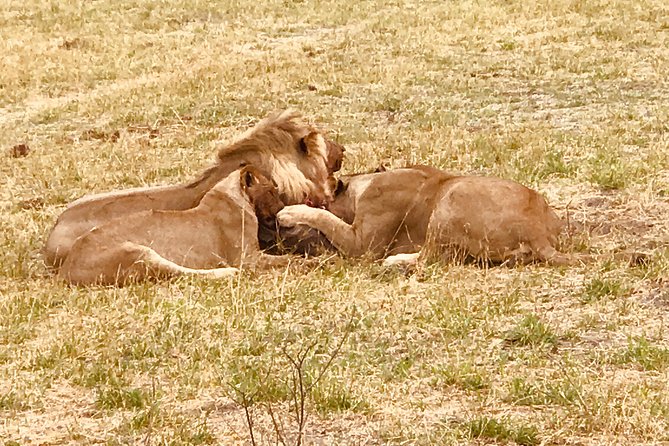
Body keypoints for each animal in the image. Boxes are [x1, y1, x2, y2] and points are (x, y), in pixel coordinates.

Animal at [58, 166, 290, 286]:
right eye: (272, 190)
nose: (282, 207)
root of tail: (67, 269)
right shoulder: (247, 258)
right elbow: (288, 260)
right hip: (137, 253)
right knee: (179, 273)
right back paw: (225, 272)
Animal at [276, 165, 577, 266]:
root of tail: (537, 230)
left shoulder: (362, 245)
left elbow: (324, 218)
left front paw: (288, 212)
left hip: (451, 196)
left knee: (431, 258)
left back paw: (396, 261)